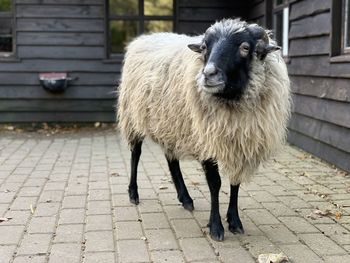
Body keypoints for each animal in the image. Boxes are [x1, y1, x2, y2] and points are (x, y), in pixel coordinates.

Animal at [117, 18, 290, 241]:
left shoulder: (240, 143)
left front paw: (234, 221)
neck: (232, 100)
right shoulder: (207, 140)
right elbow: (215, 183)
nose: (208, 74)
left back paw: (185, 198)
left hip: (170, 123)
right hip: (133, 117)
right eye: (205, 47)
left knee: (171, 160)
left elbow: (235, 182)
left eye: (245, 47)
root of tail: (143, 39)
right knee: (135, 154)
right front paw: (216, 227)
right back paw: (133, 193)